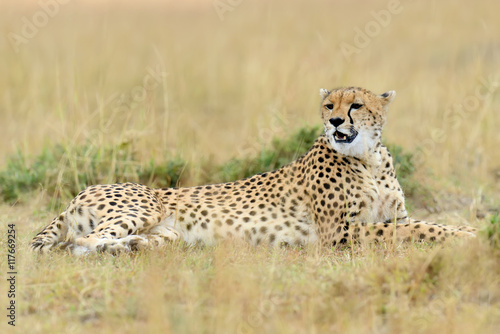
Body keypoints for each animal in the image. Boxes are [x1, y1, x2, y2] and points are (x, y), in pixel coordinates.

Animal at [30, 87, 476, 254]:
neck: (368, 158)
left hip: (166, 231)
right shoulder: (339, 234)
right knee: (80, 244)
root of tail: (77, 194)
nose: (335, 122)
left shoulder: (392, 215)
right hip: (142, 207)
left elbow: (425, 223)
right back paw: (119, 248)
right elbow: (419, 230)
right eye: (328, 105)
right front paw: (469, 235)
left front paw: (468, 229)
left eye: (355, 105)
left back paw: (134, 247)